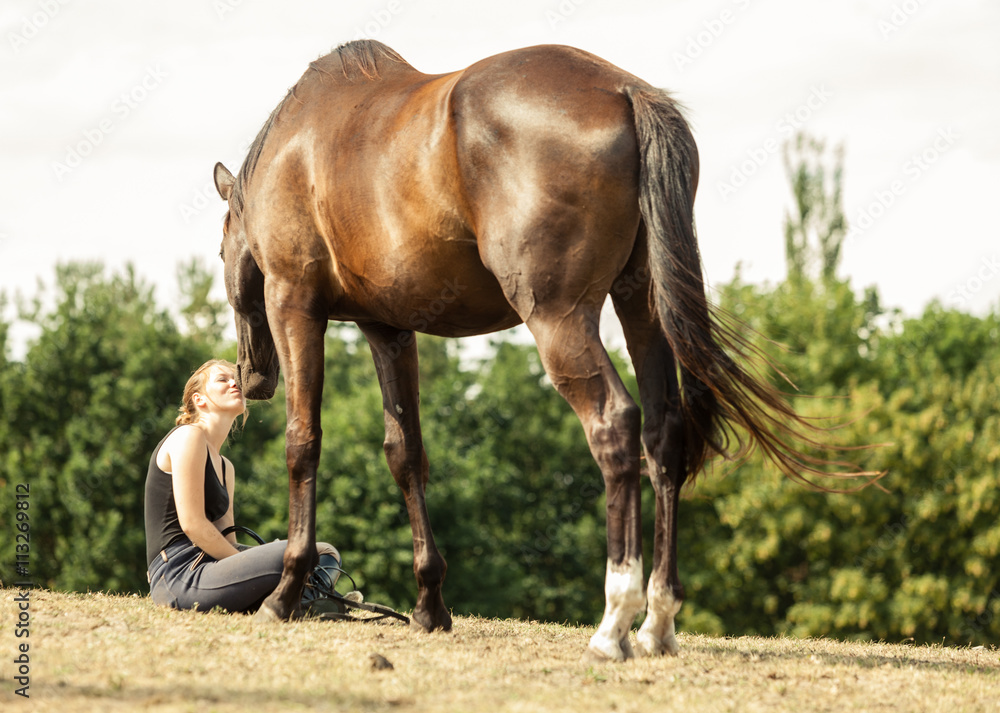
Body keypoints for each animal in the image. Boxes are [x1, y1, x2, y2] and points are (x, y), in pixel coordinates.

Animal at [213, 39, 867, 661]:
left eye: (222, 252)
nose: (252, 376)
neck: (299, 144)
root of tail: (626, 91)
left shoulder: (296, 306)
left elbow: (304, 442)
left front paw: (285, 593)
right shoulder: (389, 329)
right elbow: (406, 454)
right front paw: (429, 606)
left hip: (558, 319)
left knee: (614, 424)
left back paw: (614, 623)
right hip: (642, 308)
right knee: (664, 432)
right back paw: (657, 623)